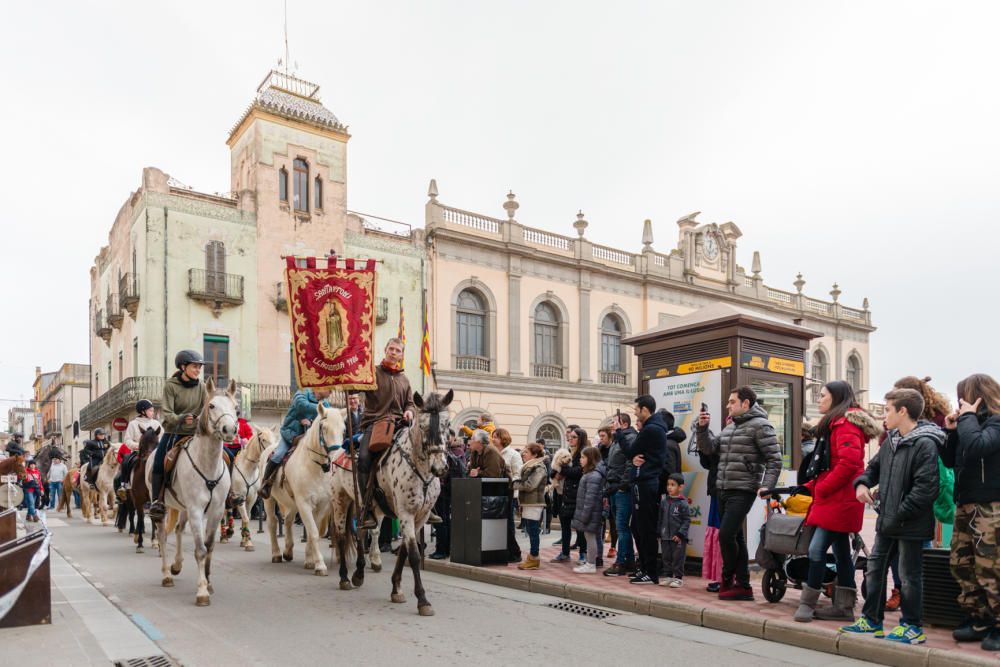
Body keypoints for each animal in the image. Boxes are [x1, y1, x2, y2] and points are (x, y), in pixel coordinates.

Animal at [146, 380, 238, 604]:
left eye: (236, 407)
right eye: (211, 405)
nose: (230, 429)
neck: (207, 464)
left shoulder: (216, 510)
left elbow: (210, 546)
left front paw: (209, 582)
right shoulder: (196, 510)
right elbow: (200, 550)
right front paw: (202, 591)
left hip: (183, 507)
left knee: (179, 530)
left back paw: (176, 565)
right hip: (165, 507)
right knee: (162, 536)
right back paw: (167, 574)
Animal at [260, 404, 346, 576]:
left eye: (344, 430)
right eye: (324, 428)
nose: (336, 457)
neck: (315, 467)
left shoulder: (321, 505)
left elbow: (314, 531)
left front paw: (310, 560)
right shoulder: (304, 503)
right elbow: (313, 532)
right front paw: (320, 565)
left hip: (292, 503)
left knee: (287, 520)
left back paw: (288, 551)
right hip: (269, 500)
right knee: (273, 523)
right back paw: (276, 554)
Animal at [330, 392, 452, 616]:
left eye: (447, 425)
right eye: (423, 426)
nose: (440, 467)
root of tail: (338, 452)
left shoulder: (420, 517)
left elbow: (404, 551)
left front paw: (396, 589)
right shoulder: (405, 513)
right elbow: (414, 555)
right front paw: (422, 600)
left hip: (372, 509)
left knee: (364, 533)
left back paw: (359, 573)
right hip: (340, 501)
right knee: (342, 537)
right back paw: (344, 578)